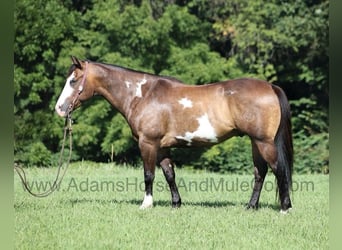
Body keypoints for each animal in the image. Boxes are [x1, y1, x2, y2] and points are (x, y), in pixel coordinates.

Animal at [56, 56, 294, 213]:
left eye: (73, 80)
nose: (59, 108)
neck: (142, 95)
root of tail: (271, 87)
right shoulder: (162, 147)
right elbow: (169, 174)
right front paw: (176, 203)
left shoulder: (148, 143)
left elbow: (149, 175)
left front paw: (146, 204)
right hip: (256, 143)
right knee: (260, 173)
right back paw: (251, 206)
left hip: (264, 143)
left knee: (278, 170)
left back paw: (284, 208)